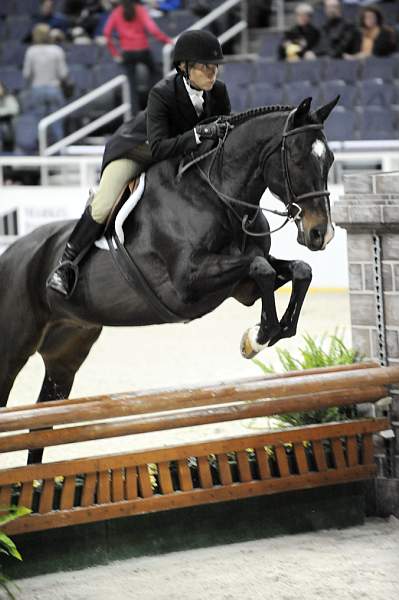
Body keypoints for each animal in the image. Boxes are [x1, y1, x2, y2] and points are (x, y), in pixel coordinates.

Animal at [0, 97, 340, 464]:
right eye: (297, 159)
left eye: (330, 160)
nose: (321, 234)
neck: (219, 196)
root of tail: (10, 254)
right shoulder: (188, 283)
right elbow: (260, 267)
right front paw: (259, 336)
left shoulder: (242, 289)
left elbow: (297, 270)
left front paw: (268, 333)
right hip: (12, 348)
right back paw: (61, 277)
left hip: (68, 349)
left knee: (43, 418)